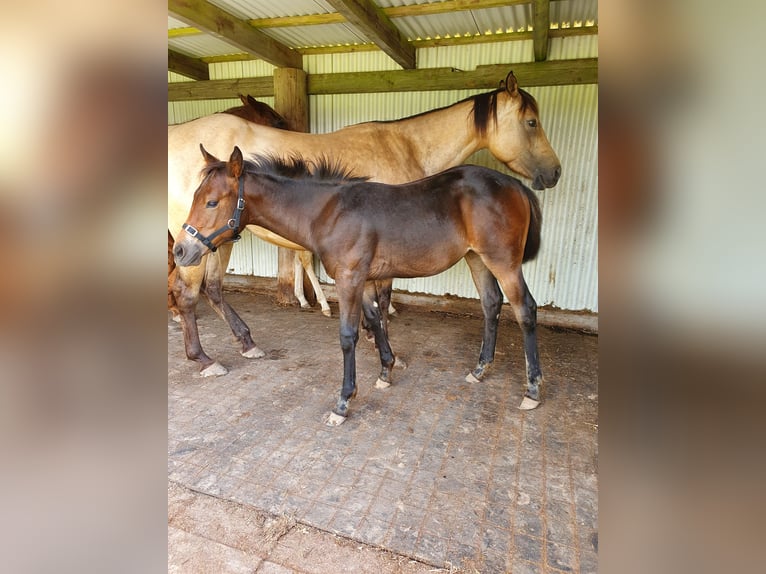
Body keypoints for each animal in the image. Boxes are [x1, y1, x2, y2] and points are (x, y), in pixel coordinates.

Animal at [168, 72, 560, 378]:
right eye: (531, 122)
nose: (555, 172)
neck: (406, 146)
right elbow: (382, 304)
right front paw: (384, 351)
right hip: (200, 244)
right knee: (188, 292)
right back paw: (204, 358)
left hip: (215, 241)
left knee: (212, 289)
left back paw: (246, 342)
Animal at [174, 147, 544, 428]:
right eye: (195, 197)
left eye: (212, 202)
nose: (180, 250)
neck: (329, 212)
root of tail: (515, 184)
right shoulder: (364, 280)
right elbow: (376, 319)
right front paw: (386, 371)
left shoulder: (349, 278)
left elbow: (348, 335)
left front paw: (343, 402)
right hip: (477, 258)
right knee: (491, 304)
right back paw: (480, 371)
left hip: (503, 262)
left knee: (525, 309)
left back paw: (532, 390)